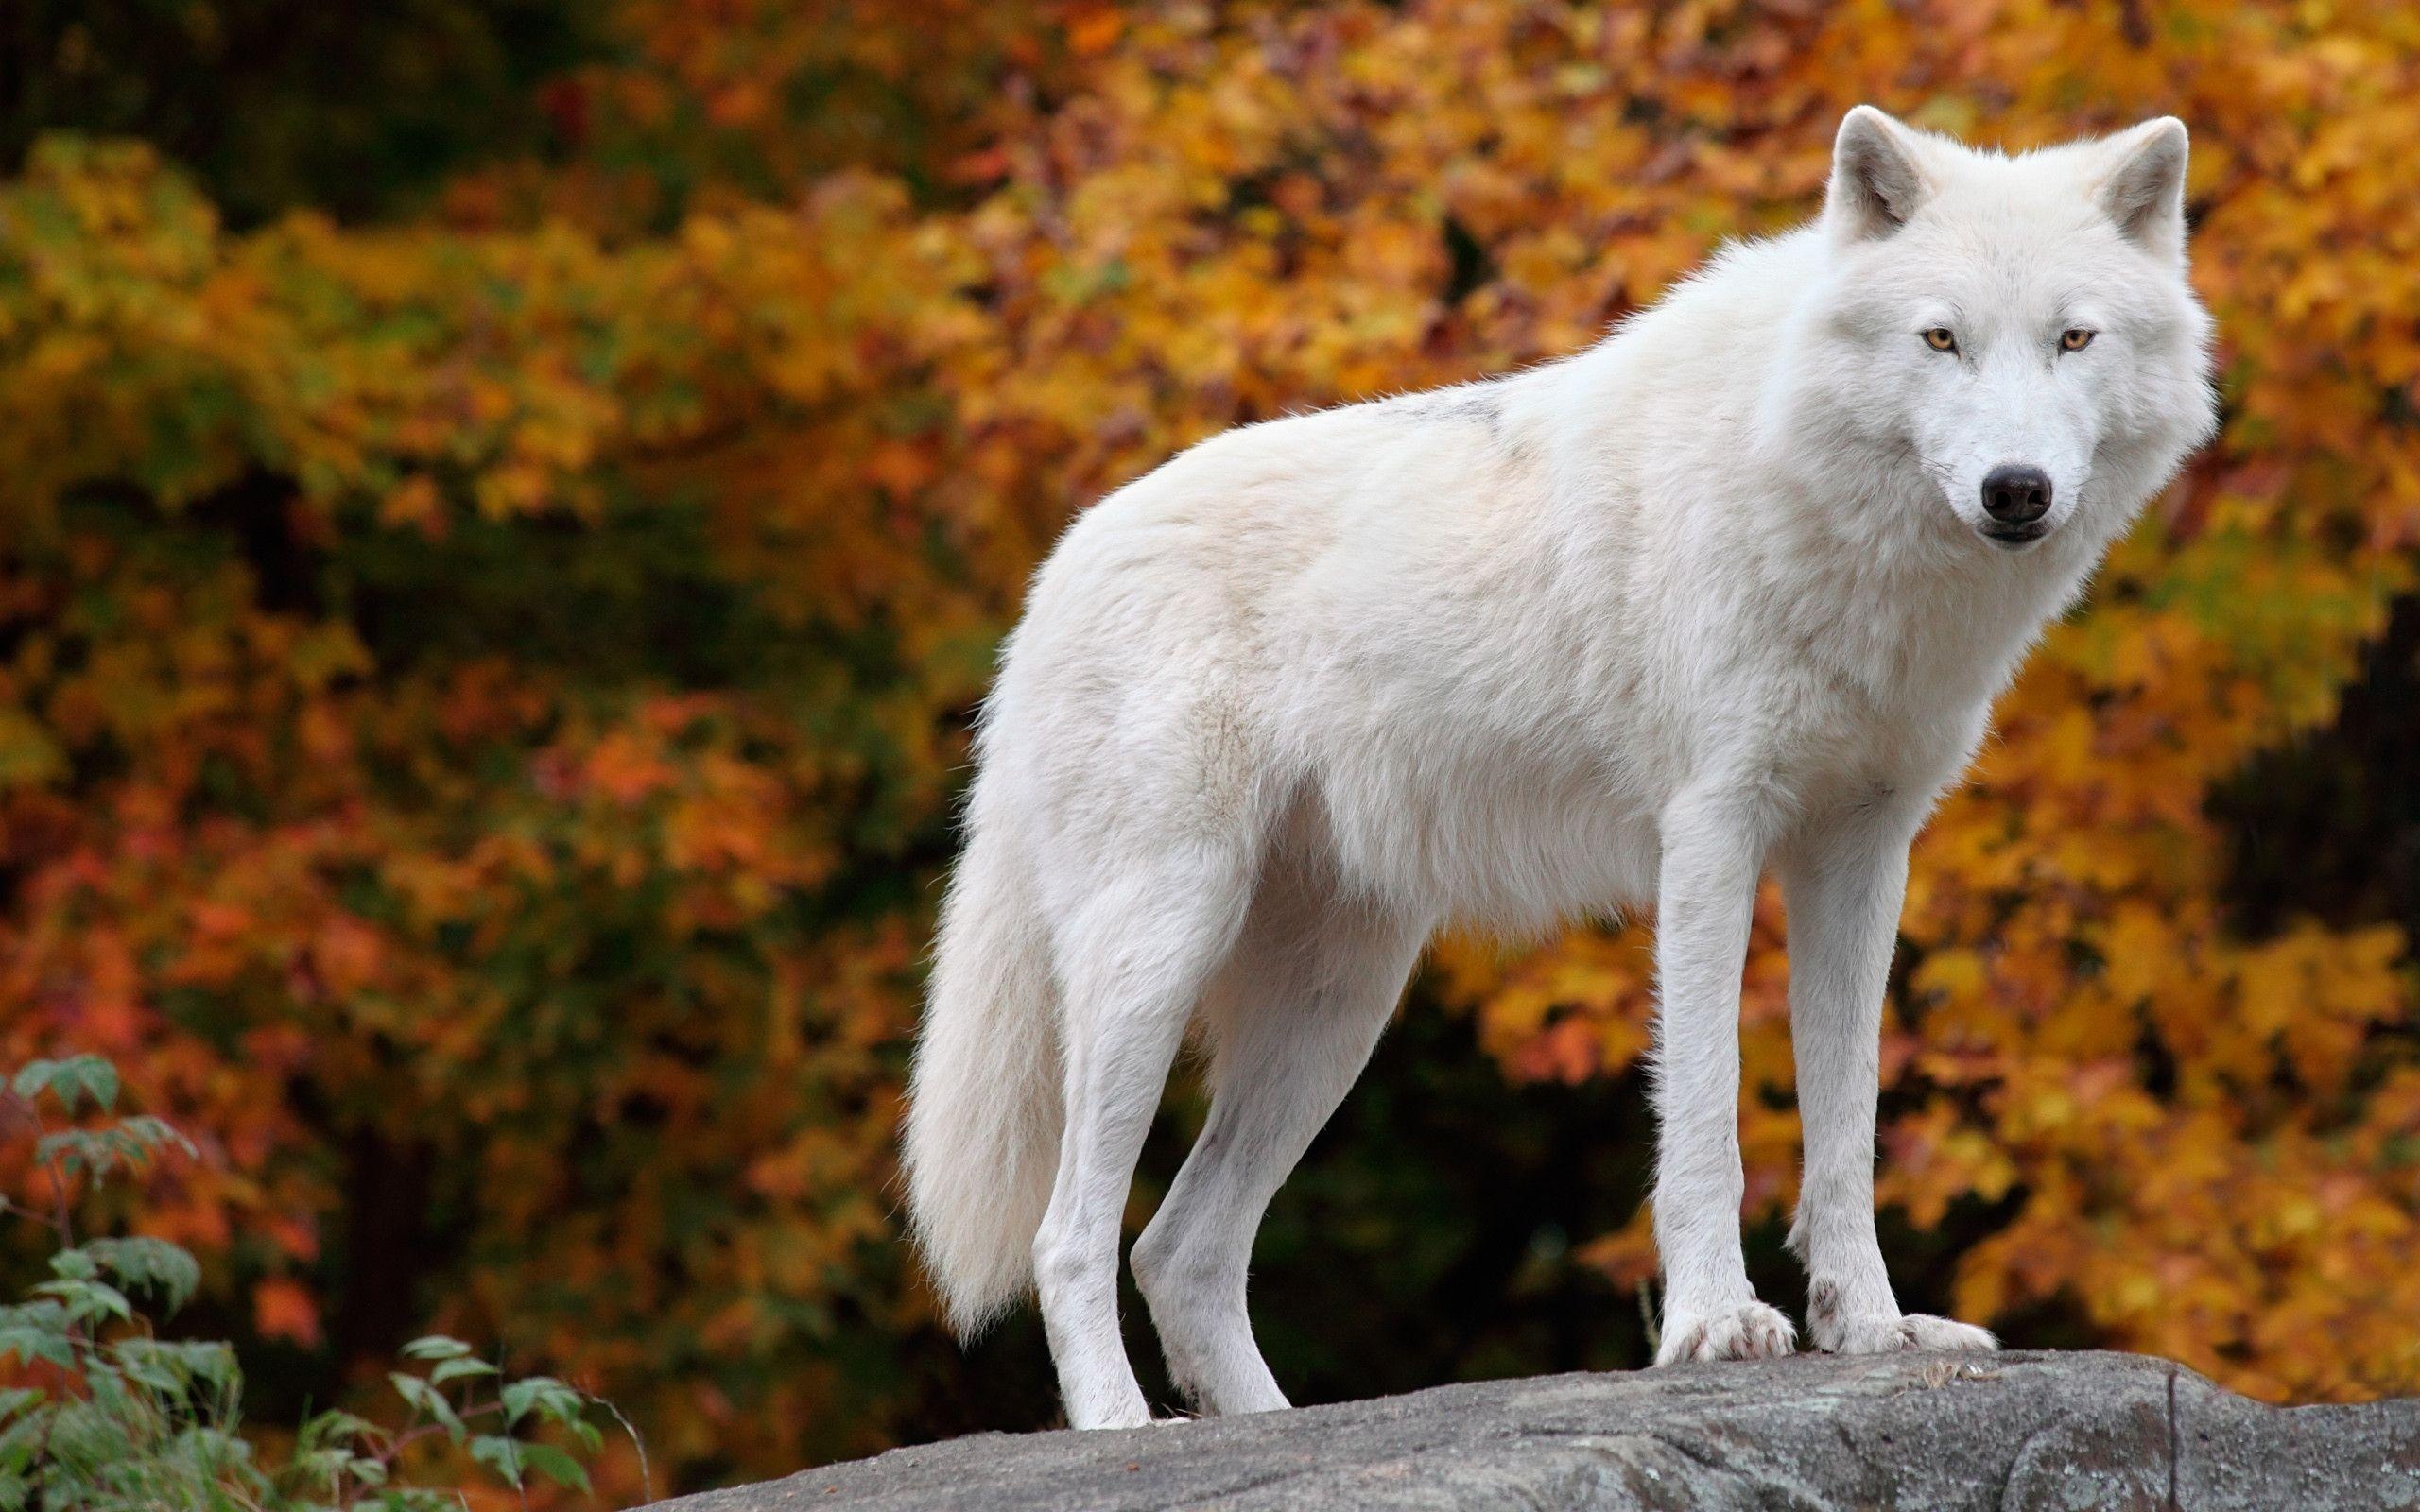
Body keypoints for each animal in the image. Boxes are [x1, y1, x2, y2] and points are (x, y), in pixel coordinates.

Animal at [905, 106, 2216, 1422]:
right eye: (1941, 337)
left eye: (2072, 338)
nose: (2016, 490)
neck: (1810, 496)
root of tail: (1055, 571)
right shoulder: (1711, 834)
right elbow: (1705, 1113)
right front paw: (1714, 1325)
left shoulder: (1862, 852)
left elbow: (1846, 1121)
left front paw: (1871, 1328)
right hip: (1159, 953)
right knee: (1071, 1237)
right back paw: (1119, 1429)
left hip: (1334, 1010)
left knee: (1178, 1248)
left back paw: (1262, 1424)